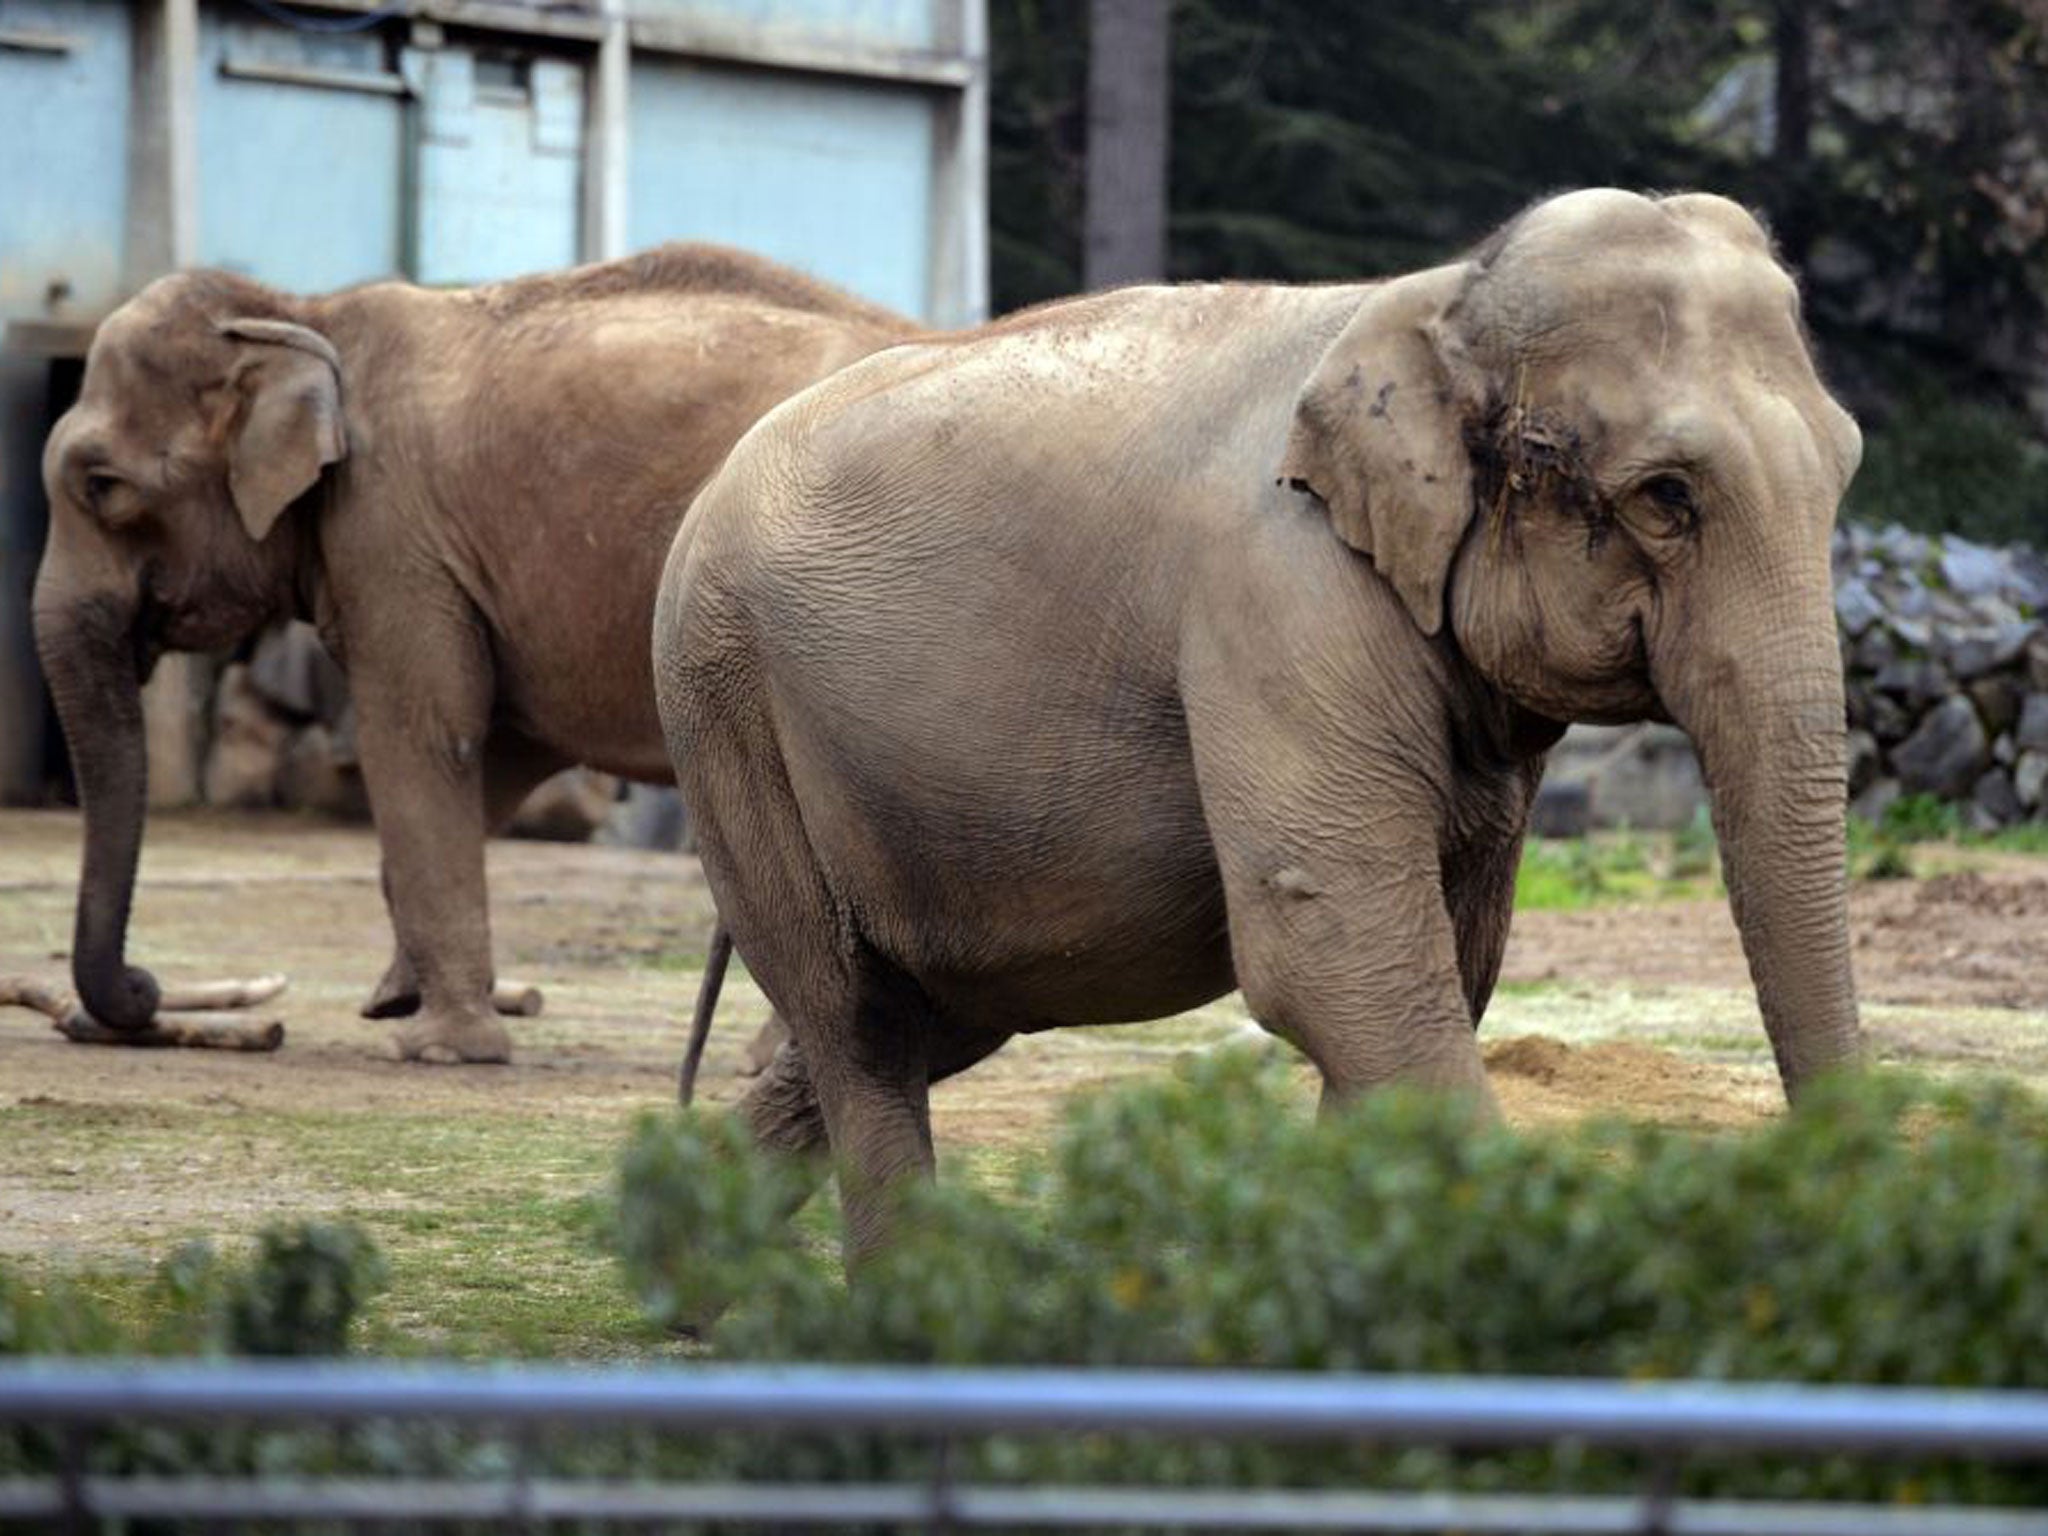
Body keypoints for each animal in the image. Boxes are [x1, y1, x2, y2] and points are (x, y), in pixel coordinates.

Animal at [34, 245, 914, 1064]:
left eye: (101, 486)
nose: (145, 989)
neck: (302, 313)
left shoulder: (391, 532)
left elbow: (421, 735)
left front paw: (434, 1046)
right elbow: (493, 755)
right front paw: (396, 1001)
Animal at [654, 188, 1865, 1263]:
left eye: (1846, 465)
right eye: (1667, 497)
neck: (1429, 301)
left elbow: (1439, 967)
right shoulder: (1280, 594)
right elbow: (1338, 954)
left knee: (921, 1017)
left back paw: (686, 1271)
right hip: (724, 704)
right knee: (855, 1020)